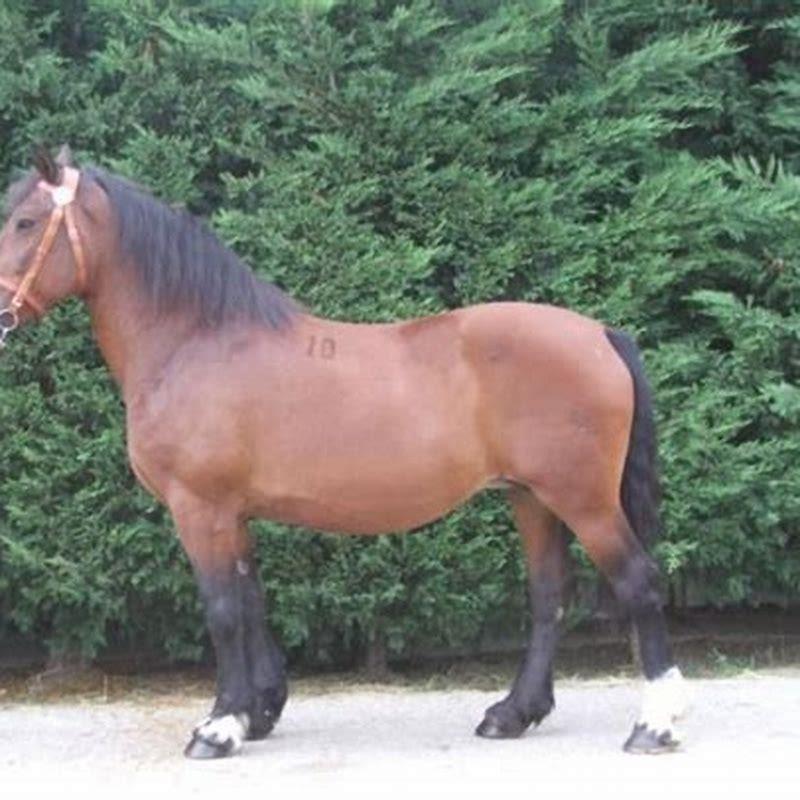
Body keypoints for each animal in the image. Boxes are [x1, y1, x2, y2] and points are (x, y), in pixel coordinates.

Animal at [0, 147, 688, 758]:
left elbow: (222, 611)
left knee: (639, 583)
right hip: (532, 498)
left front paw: (219, 728)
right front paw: (259, 711)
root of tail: (600, 333)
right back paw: (512, 714)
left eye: (25, 222)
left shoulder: (200, 509)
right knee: (549, 598)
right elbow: (251, 604)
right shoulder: (234, 513)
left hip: (583, 500)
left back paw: (653, 725)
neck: (196, 343)